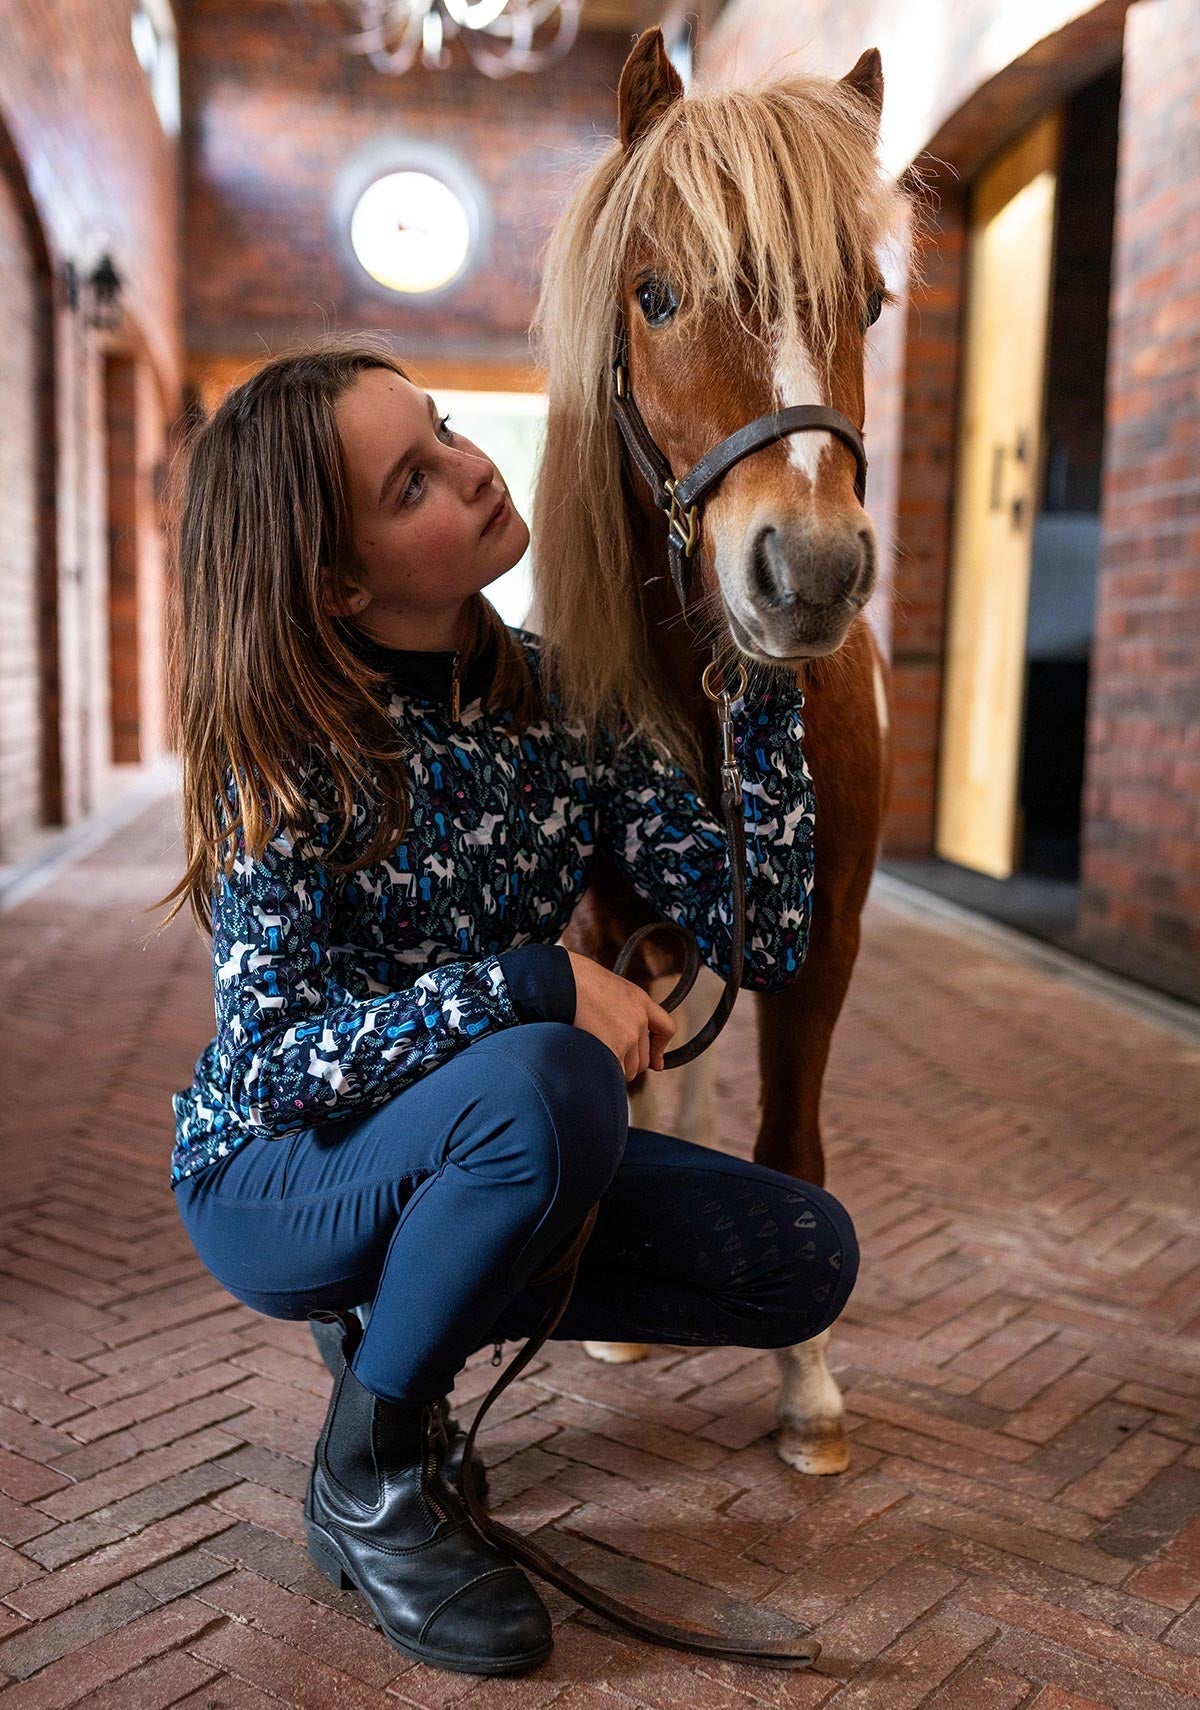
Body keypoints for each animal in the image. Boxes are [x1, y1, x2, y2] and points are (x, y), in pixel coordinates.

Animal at [526, 26, 923, 1470]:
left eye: (871, 301)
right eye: (653, 295)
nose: (807, 572)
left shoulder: (824, 940)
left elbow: (789, 1142)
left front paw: (807, 1389)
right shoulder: (598, 924)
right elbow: (626, 1077)